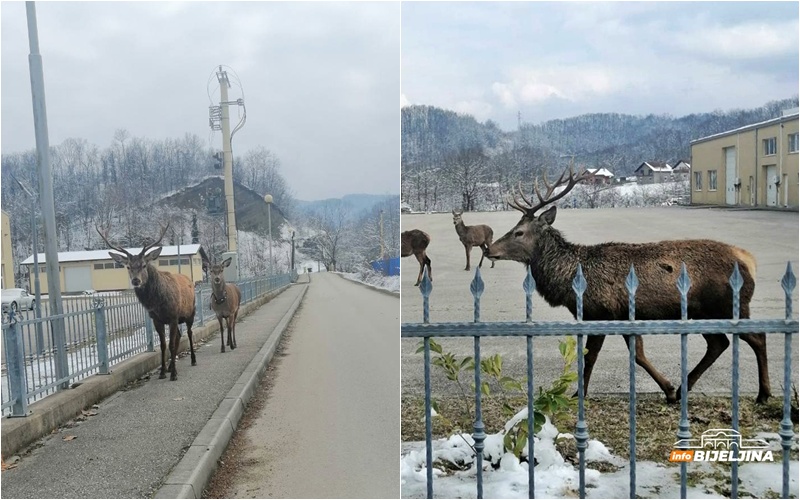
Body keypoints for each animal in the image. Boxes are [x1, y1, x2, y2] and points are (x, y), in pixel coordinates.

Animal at [96, 225, 197, 380]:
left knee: (190, 333)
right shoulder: (156, 319)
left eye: (144, 265)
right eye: (128, 266)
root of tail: (189, 279)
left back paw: (192, 360)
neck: (158, 303)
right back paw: (170, 366)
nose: (136, 280)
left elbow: (171, 344)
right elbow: (163, 345)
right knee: (179, 336)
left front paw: (174, 374)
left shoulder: (173, 316)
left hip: (190, 312)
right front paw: (163, 372)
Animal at [484, 166, 772, 404]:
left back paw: (763, 393)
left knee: (757, 337)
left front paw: (579, 394)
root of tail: (748, 260)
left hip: (730, 305)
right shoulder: (622, 314)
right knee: (719, 343)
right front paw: (669, 389)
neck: (569, 282)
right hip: (703, 311)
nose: (489, 250)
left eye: (519, 232)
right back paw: (684, 388)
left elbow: (591, 357)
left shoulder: (600, 312)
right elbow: (638, 355)